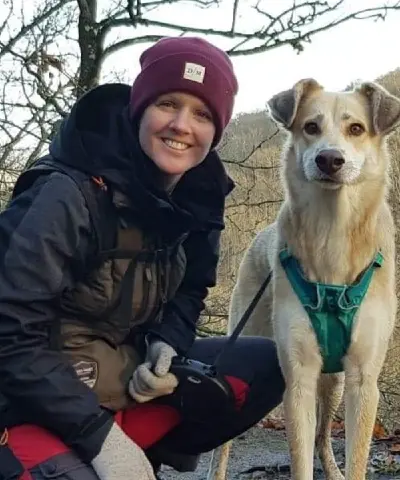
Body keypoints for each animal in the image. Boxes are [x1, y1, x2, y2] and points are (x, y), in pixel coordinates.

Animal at [208, 79, 400, 480]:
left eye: (356, 128)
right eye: (310, 127)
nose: (329, 159)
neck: (333, 231)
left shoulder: (362, 380)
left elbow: (353, 457)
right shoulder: (297, 378)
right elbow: (299, 459)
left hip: (334, 384)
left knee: (323, 436)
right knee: (224, 444)